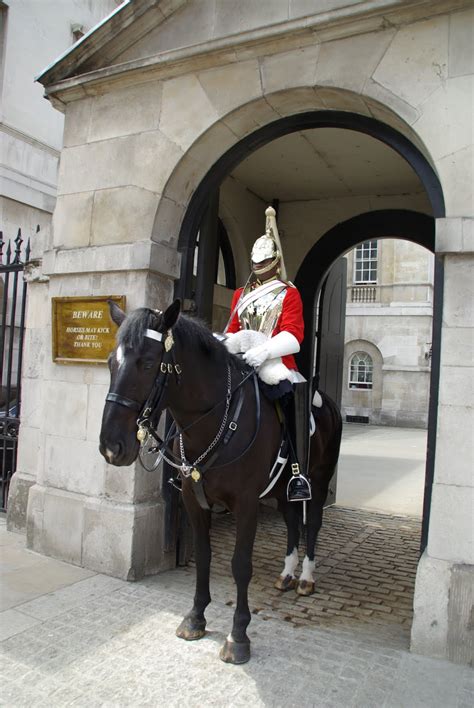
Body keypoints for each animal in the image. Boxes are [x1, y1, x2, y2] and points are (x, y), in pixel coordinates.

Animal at [100, 298, 342, 664]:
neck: (214, 421)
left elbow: (240, 565)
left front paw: (238, 635)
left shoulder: (246, 504)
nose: (112, 447)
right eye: (111, 362)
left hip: (318, 478)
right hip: (281, 490)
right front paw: (195, 618)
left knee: (311, 523)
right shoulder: (193, 501)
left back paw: (306, 578)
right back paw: (287, 574)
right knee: (291, 522)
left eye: (147, 363)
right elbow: (204, 555)